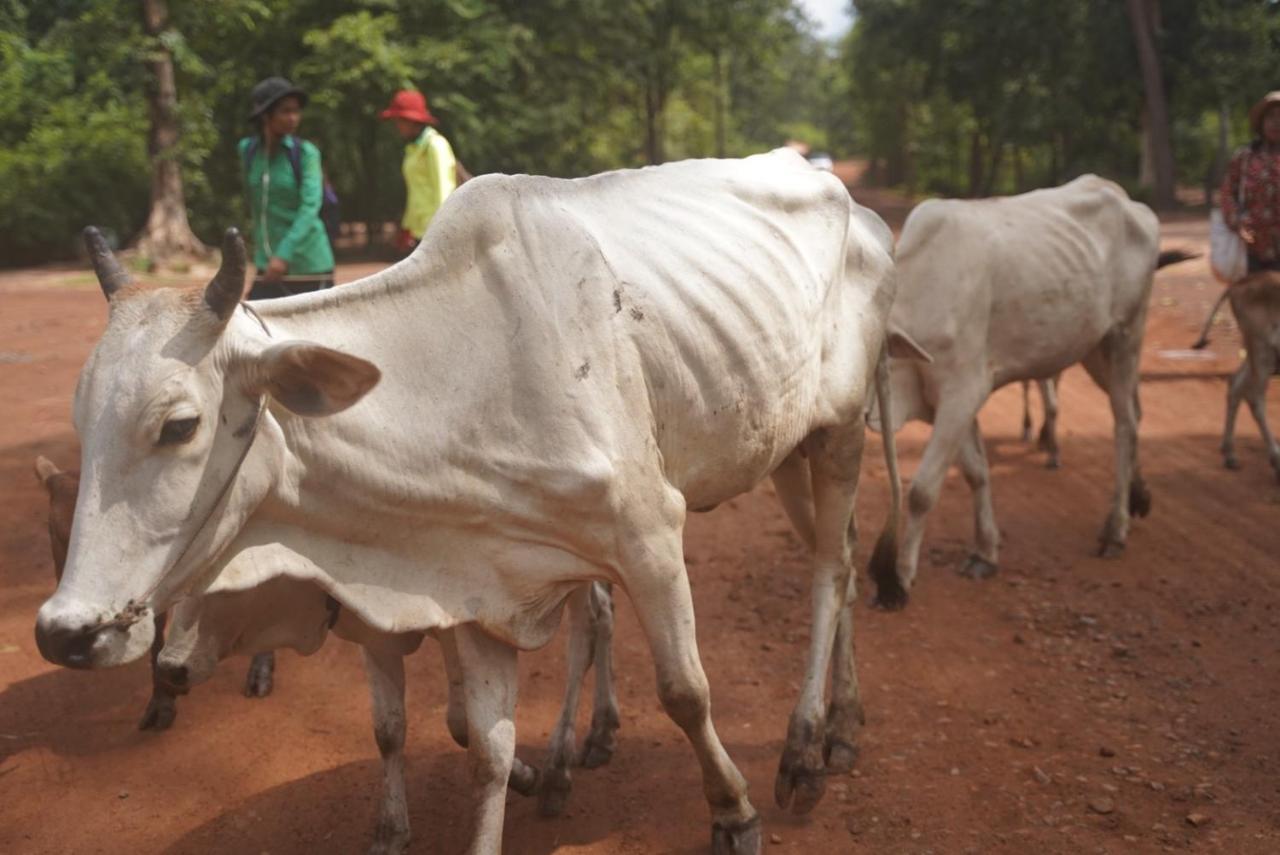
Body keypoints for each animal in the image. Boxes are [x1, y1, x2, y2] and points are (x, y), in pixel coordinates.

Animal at [37, 150, 901, 849]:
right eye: (80, 419)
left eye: (180, 425)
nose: (63, 631)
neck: (470, 371)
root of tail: (852, 204)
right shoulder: (482, 579)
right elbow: (480, 743)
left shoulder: (650, 531)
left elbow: (685, 691)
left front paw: (733, 812)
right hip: (786, 449)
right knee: (838, 555)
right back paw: (845, 724)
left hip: (840, 432)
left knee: (829, 569)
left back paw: (806, 748)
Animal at [875, 174, 1192, 601]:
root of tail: (1125, 199)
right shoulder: (951, 403)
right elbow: (976, 472)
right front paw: (985, 553)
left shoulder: (962, 392)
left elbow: (922, 490)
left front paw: (901, 577)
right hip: (1095, 349)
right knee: (1137, 411)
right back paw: (1139, 496)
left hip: (1127, 334)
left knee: (1125, 422)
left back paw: (1115, 529)